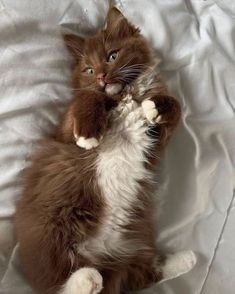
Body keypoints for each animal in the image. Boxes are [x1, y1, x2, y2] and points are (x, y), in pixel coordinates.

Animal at [13, 6, 196, 294]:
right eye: (89, 69)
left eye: (112, 55)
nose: (101, 76)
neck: (125, 95)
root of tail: (97, 255)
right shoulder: (64, 132)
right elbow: (89, 97)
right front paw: (89, 134)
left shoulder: (156, 143)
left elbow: (176, 106)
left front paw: (155, 106)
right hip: (51, 232)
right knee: (59, 283)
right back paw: (86, 280)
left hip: (133, 248)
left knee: (142, 274)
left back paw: (185, 259)